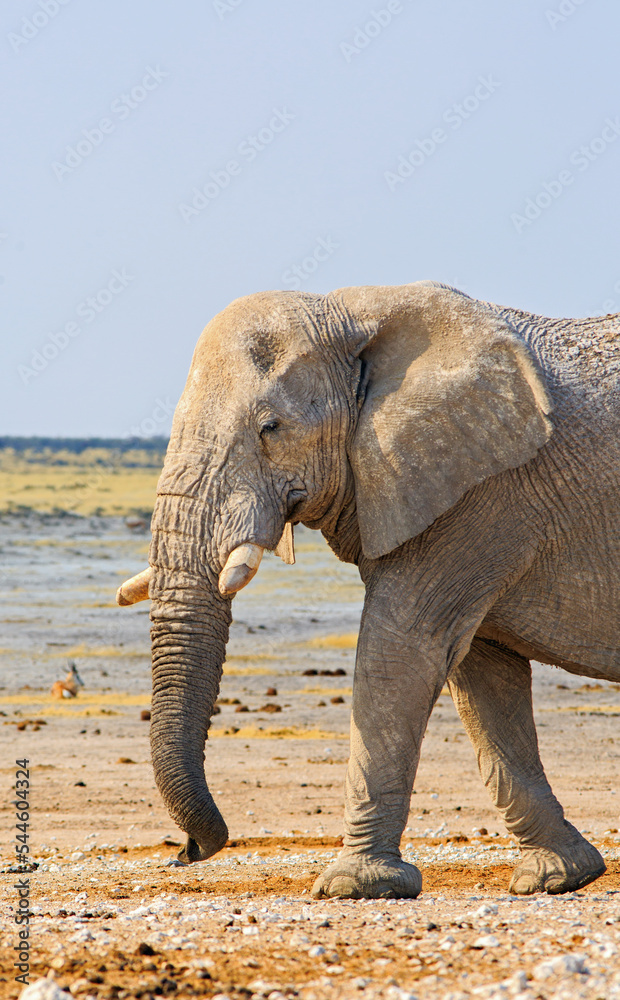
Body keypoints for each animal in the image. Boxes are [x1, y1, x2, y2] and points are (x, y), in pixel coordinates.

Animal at [117, 280, 620, 899]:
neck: (352, 312)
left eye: (271, 428)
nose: (184, 853)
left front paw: (353, 887)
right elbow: (481, 676)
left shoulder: (478, 495)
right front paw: (556, 876)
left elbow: (399, 653)